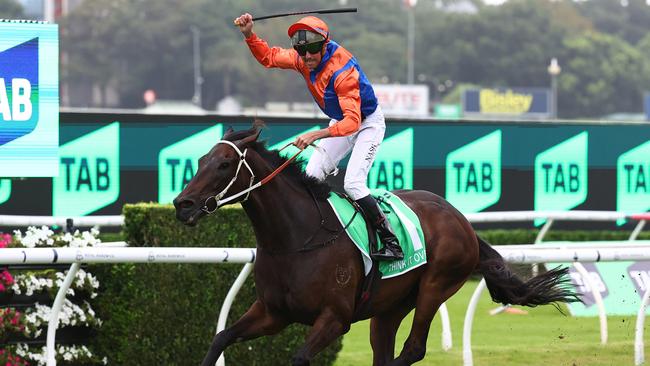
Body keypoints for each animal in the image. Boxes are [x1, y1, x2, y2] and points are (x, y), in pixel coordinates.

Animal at [172, 122, 576, 366]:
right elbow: (221, 338)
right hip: (389, 307)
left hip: (436, 285)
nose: (182, 204)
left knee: (413, 348)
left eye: (225, 164)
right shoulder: (273, 313)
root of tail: (459, 217)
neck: (297, 238)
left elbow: (300, 357)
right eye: (201, 159)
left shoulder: (334, 318)